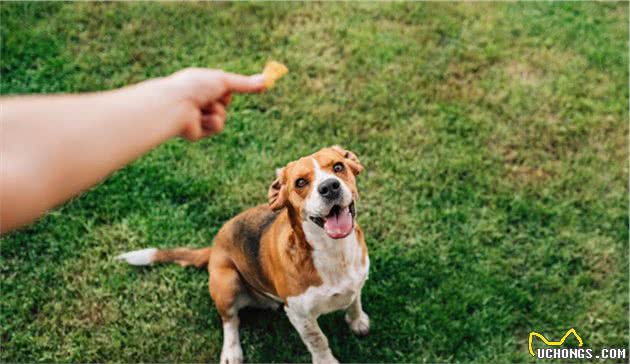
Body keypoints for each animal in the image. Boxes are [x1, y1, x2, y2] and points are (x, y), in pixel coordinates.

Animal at [117, 146, 370, 364]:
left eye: (338, 167)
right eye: (300, 182)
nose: (329, 187)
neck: (334, 251)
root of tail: (214, 246)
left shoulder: (356, 282)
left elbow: (355, 302)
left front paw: (357, 321)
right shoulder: (300, 316)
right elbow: (318, 341)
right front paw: (326, 361)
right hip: (227, 282)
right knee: (230, 320)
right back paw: (232, 352)